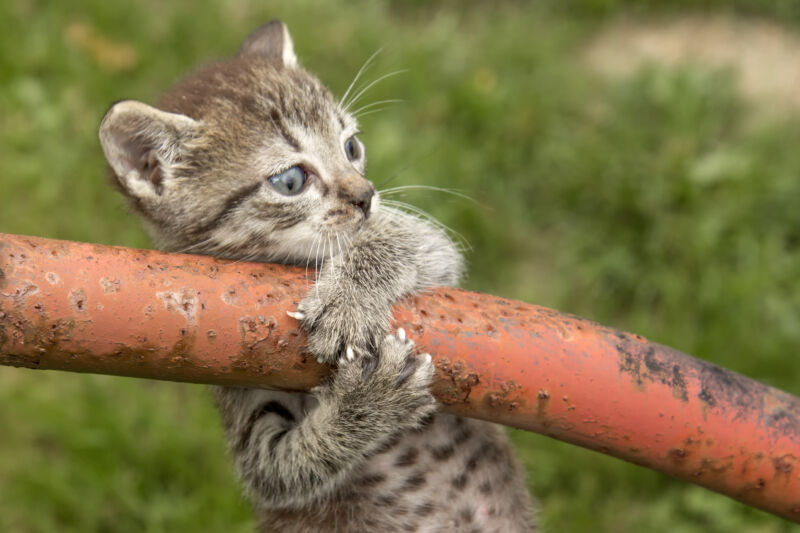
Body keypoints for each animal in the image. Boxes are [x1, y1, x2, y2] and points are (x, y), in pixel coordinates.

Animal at [101, 20, 536, 532]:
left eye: (351, 147)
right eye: (290, 181)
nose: (366, 195)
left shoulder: (435, 250)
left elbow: (399, 239)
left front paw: (345, 303)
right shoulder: (239, 392)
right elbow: (286, 468)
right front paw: (367, 402)